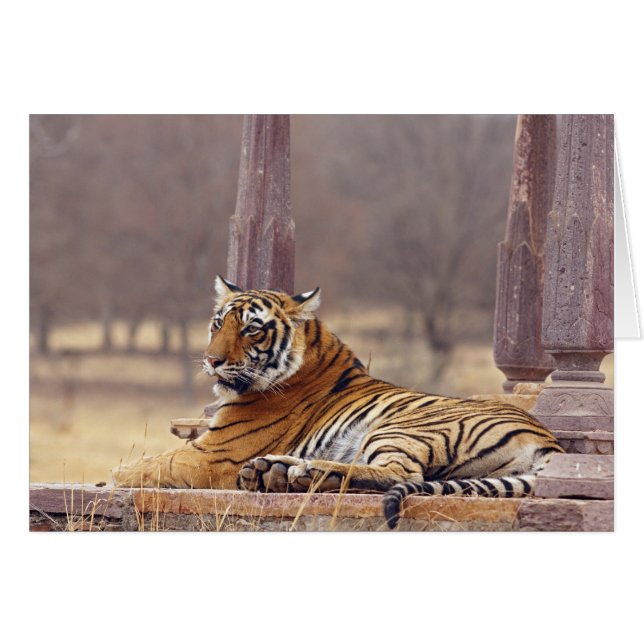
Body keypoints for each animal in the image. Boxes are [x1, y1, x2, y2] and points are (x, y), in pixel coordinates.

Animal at [112, 275, 564, 529]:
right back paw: (277, 472)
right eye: (219, 324)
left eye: (252, 329)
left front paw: (115, 478)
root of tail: (549, 441)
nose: (211, 361)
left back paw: (301, 472)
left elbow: (150, 464)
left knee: (395, 473)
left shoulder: (215, 454)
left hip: (402, 427)